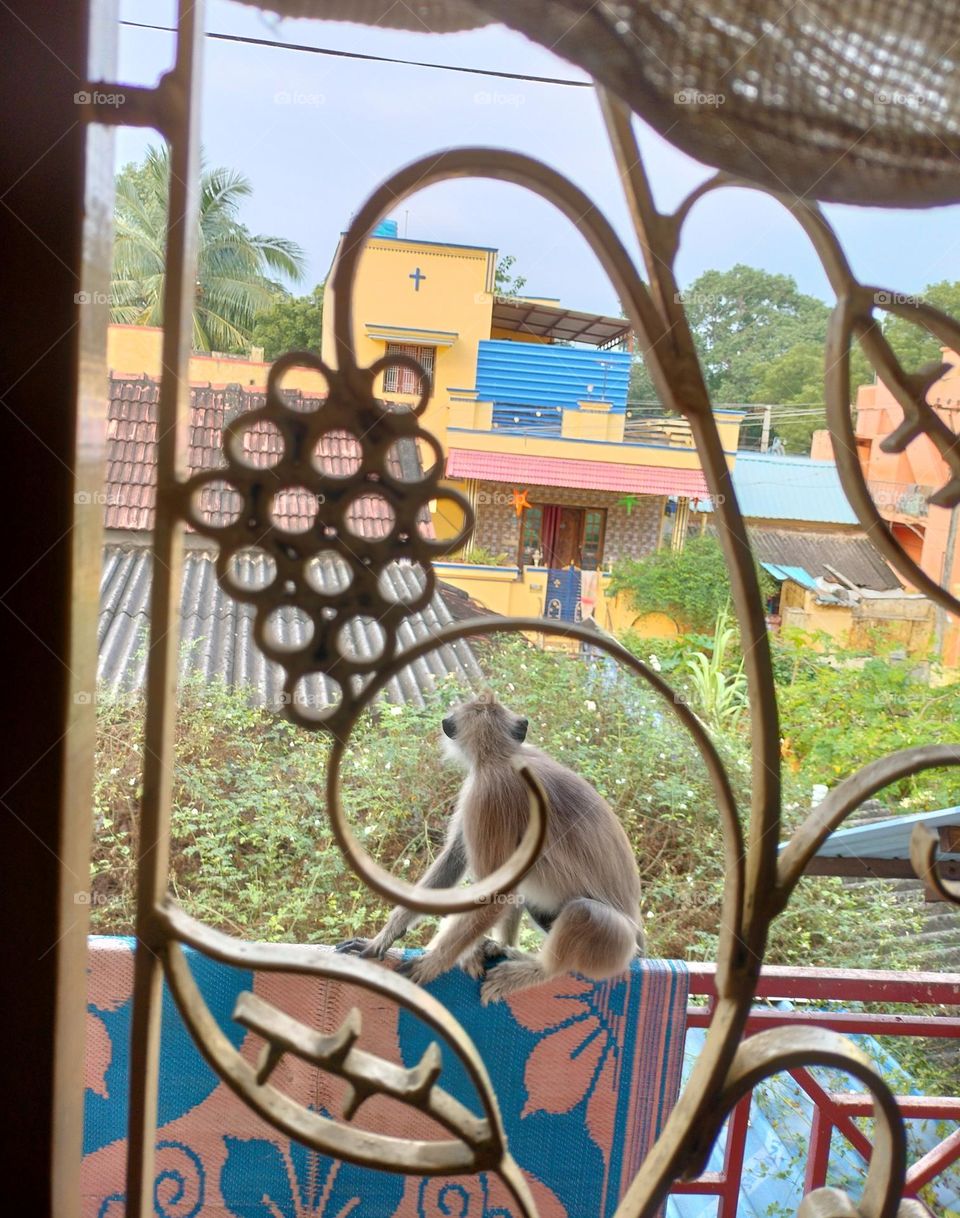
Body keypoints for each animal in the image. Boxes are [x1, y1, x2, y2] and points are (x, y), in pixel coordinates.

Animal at [337, 691, 643, 1004]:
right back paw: (503, 947)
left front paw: (434, 963)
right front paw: (383, 938)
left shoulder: (487, 794)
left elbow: (494, 894)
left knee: (583, 912)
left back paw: (535, 969)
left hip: (616, 945)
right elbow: (454, 861)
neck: (503, 754)